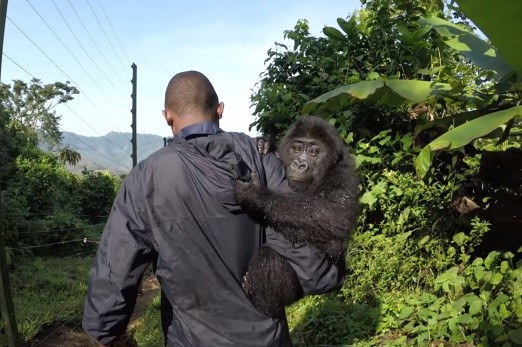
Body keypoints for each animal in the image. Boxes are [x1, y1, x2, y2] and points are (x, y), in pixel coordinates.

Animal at [235, 115, 358, 320]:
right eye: (297, 149)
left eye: (315, 152)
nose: (300, 164)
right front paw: (265, 144)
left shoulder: (343, 176)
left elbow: (331, 215)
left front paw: (258, 195)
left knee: (270, 257)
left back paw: (262, 304)